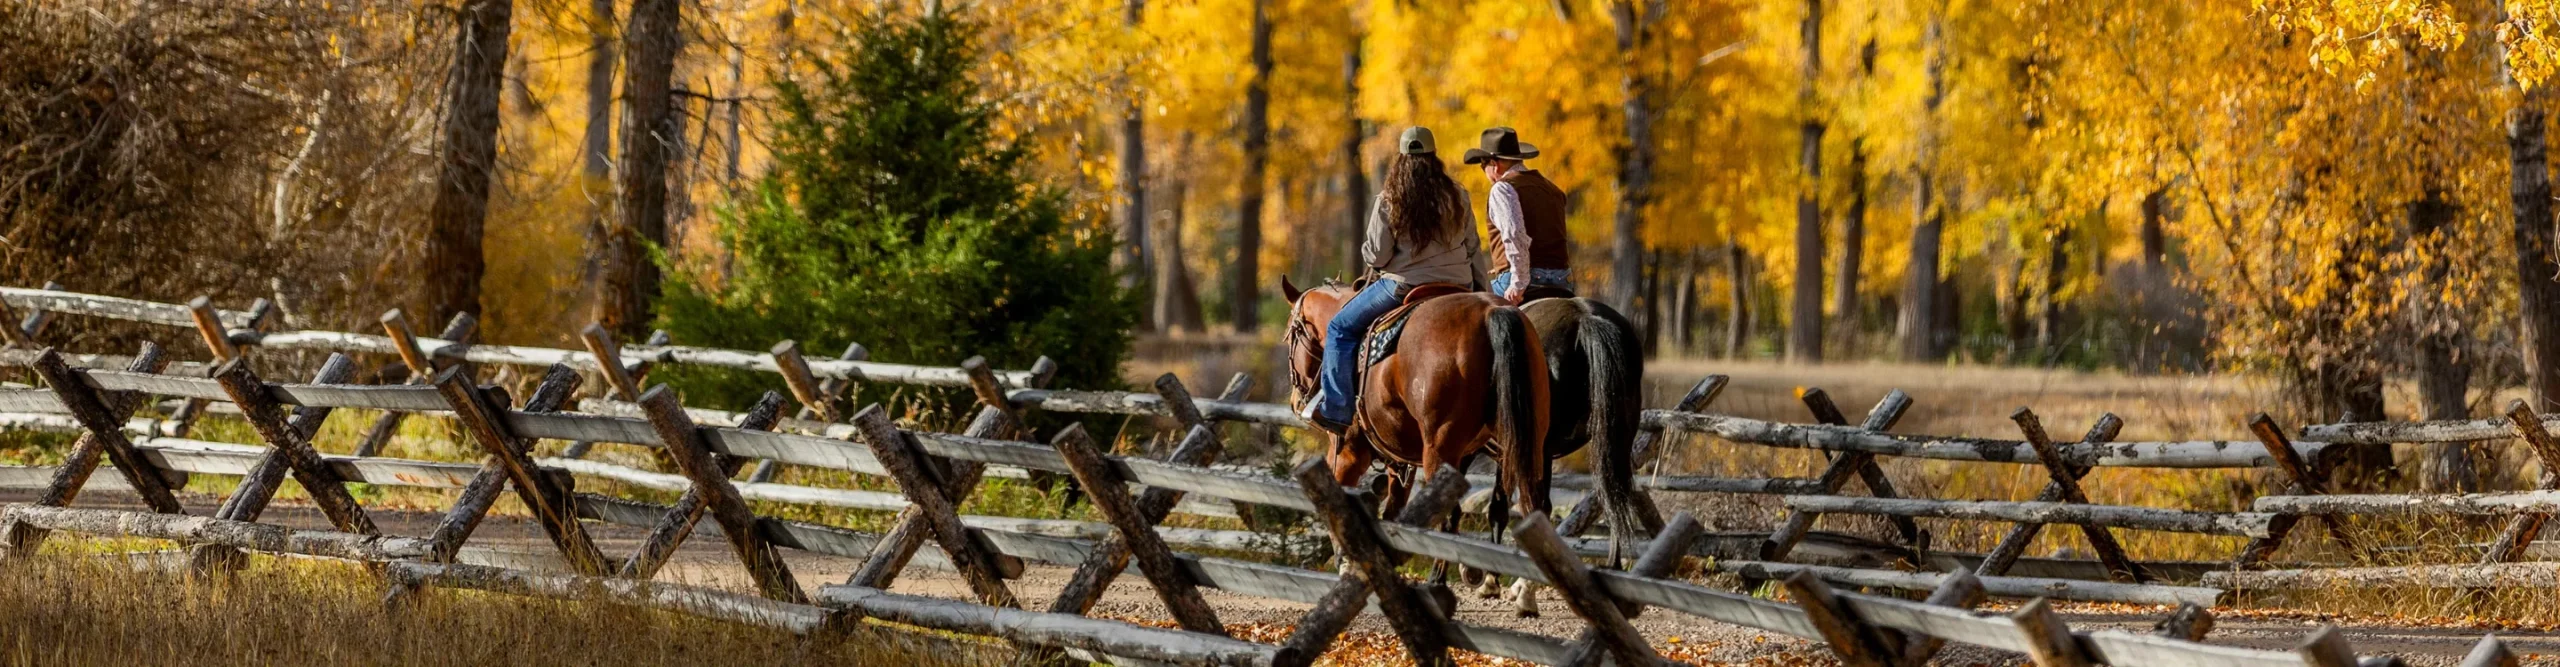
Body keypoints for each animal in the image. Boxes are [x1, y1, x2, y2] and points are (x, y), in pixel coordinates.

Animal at [1279, 276, 1550, 604]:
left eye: (1290, 336)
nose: (1296, 401)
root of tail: (1490, 313)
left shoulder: (1349, 453)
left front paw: (1345, 562)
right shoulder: (1401, 465)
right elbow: (1394, 512)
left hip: (1440, 449)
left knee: (1450, 511)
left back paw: (1438, 583)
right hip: (1528, 445)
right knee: (1531, 510)